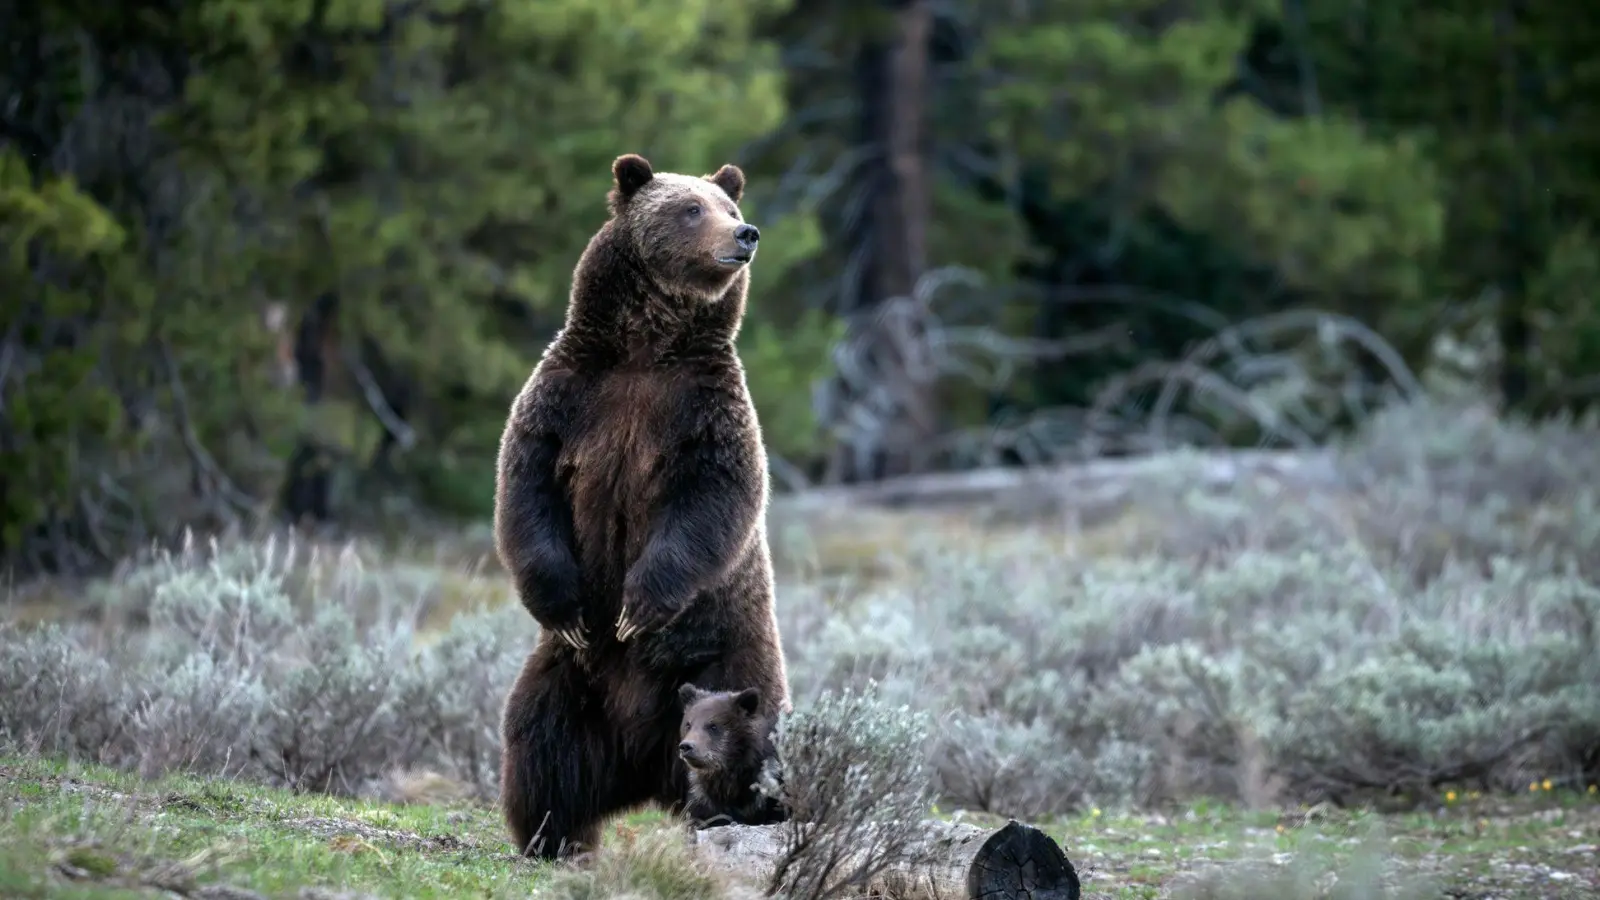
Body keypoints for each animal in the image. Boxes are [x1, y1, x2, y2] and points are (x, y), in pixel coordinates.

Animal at [486, 152, 787, 851]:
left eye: (728, 206)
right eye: (691, 208)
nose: (746, 234)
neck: (646, 349)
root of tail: (642, 763)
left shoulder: (705, 411)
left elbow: (713, 500)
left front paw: (638, 606)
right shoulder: (568, 397)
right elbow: (526, 489)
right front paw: (568, 606)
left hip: (730, 660)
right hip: (570, 680)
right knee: (541, 744)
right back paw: (551, 836)